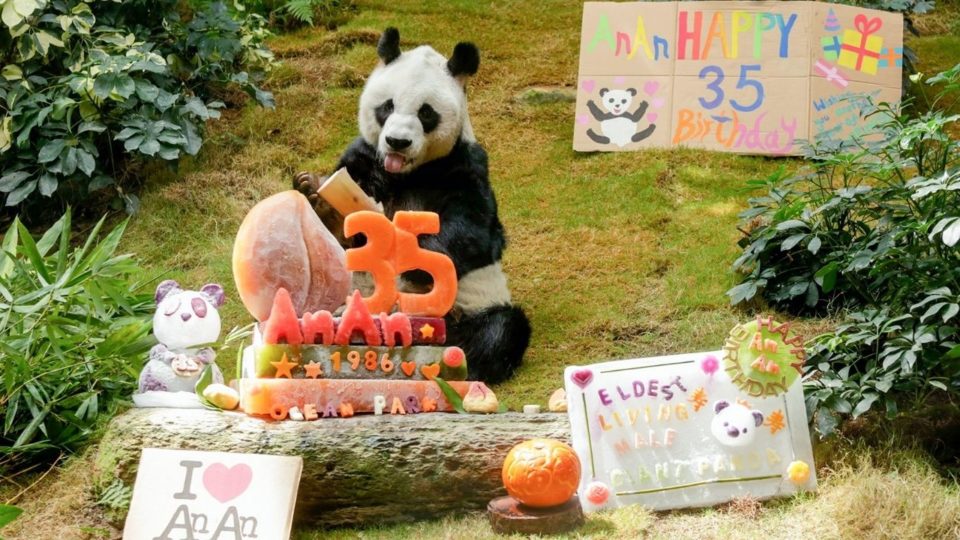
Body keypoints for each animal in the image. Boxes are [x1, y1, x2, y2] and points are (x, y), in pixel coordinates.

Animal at [294, 26, 532, 384]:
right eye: (387, 106)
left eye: (426, 112)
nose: (398, 141)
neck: (406, 172)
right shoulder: (366, 157)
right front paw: (320, 200)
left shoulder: (464, 168)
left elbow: (475, 234)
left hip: (472, 307)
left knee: (500, 331)